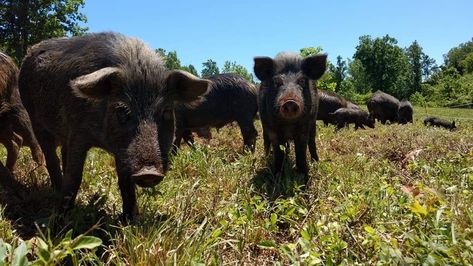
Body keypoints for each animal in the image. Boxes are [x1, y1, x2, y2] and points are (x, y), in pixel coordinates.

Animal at [19, 32, 209, 220]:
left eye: (167, 111)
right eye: (122, 110)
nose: (149, 172)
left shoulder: (123, 150)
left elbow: (125, 182)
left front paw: (130, 220)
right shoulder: (78, 132)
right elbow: (75, 176)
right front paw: (60, 219)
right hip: (36, 120)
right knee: (52, 158)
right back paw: (57, 191)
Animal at [253, 51, 326, 183]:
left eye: (302, 81)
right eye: (277, 82)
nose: (290, 101)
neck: (288, 125)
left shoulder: (304, 128)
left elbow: (301, 153)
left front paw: (304, 180)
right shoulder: (272, 129)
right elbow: (278, 152)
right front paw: (276, 179)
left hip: (313, 124)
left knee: (312, 141)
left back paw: (315, 161)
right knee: (268, 142)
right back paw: (267, 157)